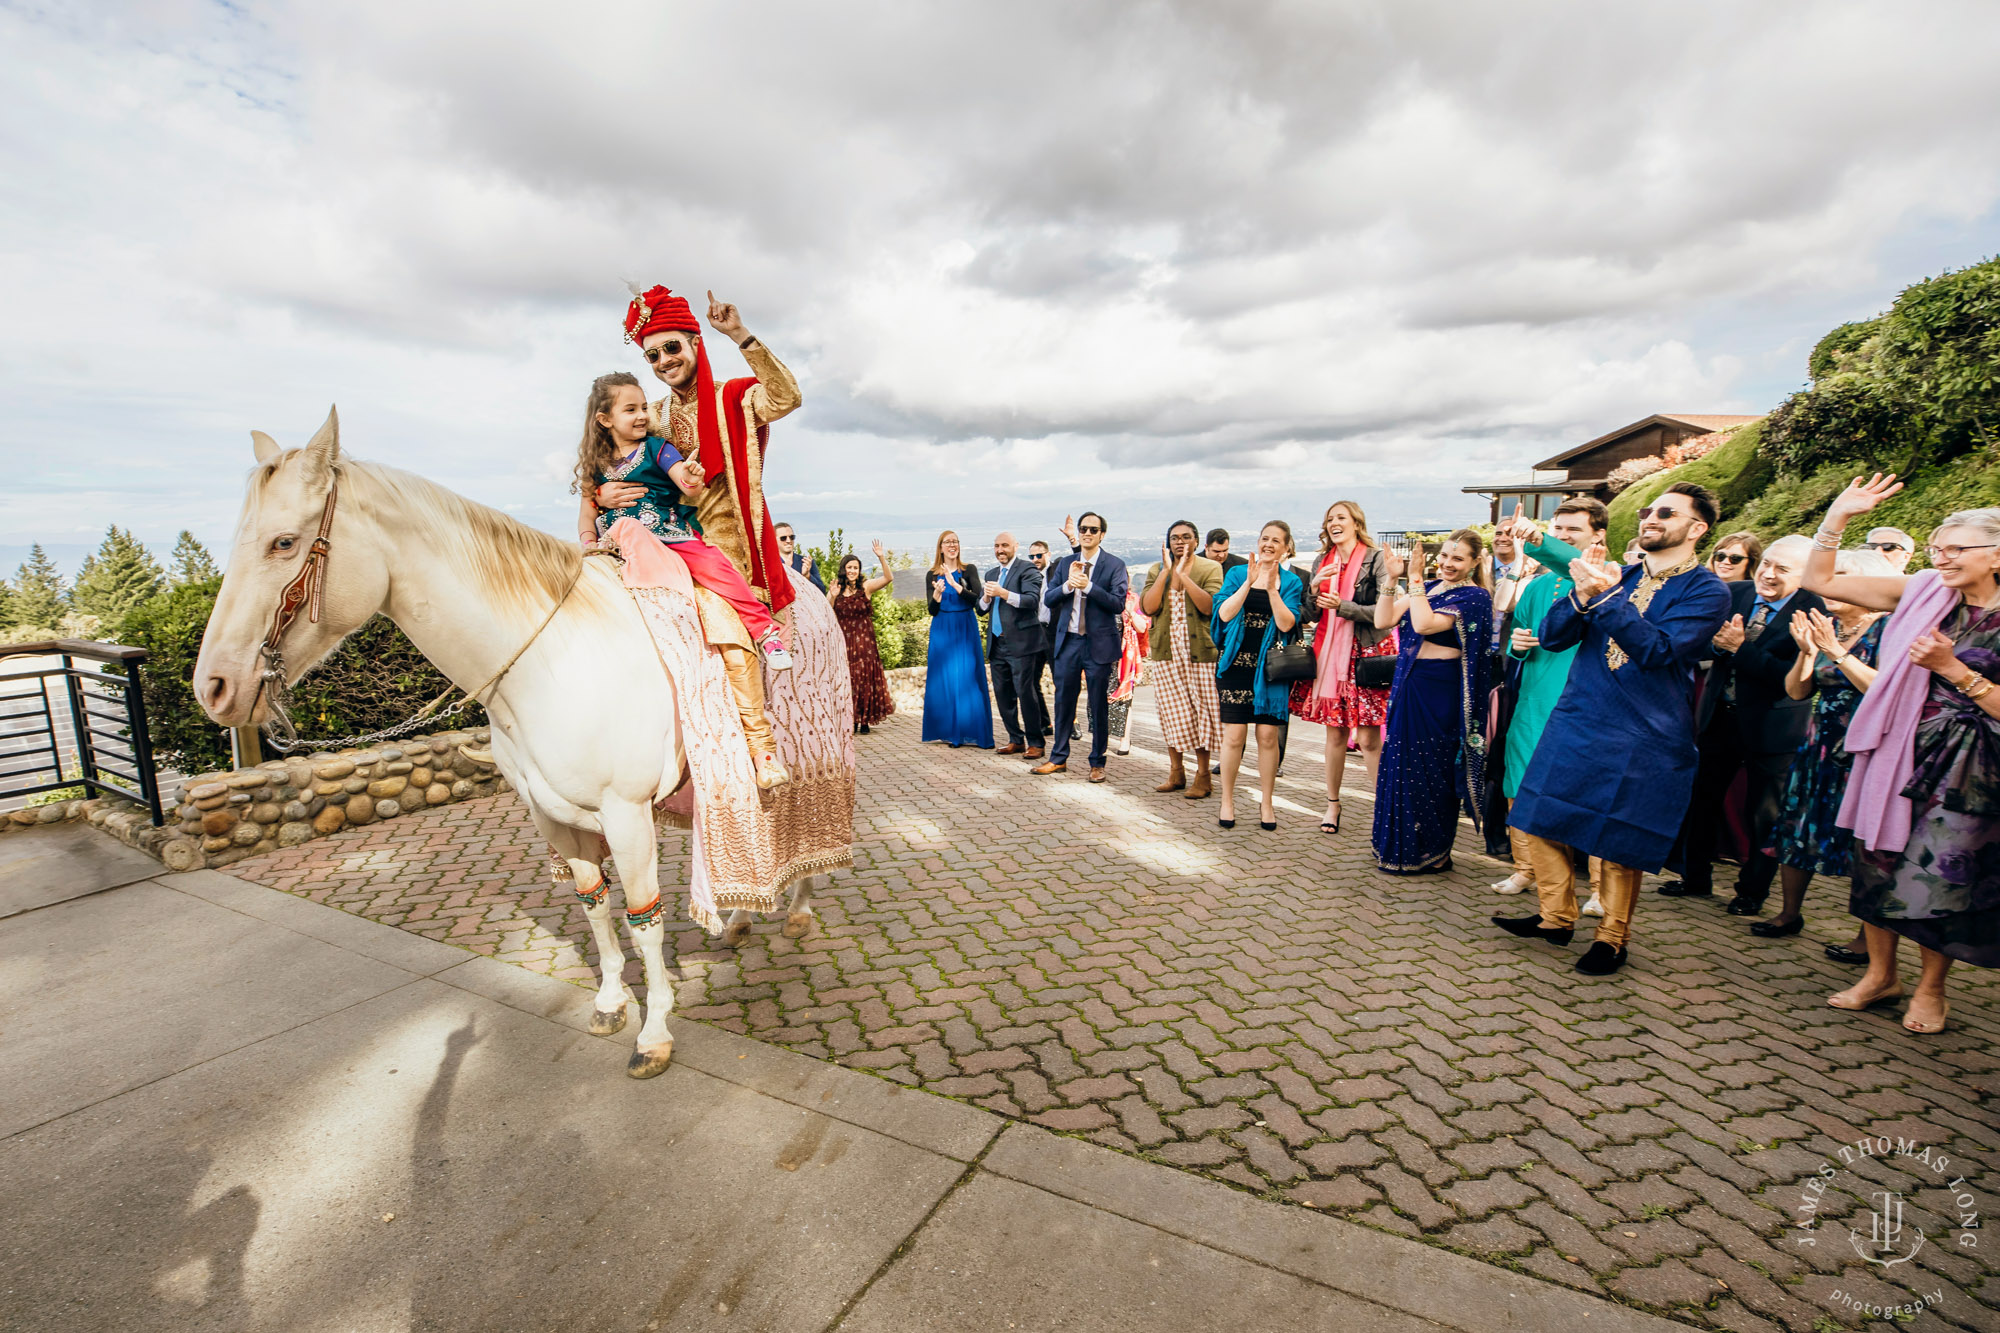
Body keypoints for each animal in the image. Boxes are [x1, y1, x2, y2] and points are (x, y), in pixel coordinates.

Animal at [193, 404, 828, 1072]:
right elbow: (595, 908)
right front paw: (610, 1002)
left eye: (283, 542)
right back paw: (740, 919)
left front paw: (654, 1031)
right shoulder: (554, 817)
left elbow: (643, 919)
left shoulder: (626, 817)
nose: (213, 686)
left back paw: (798, 908)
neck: (551, 659)